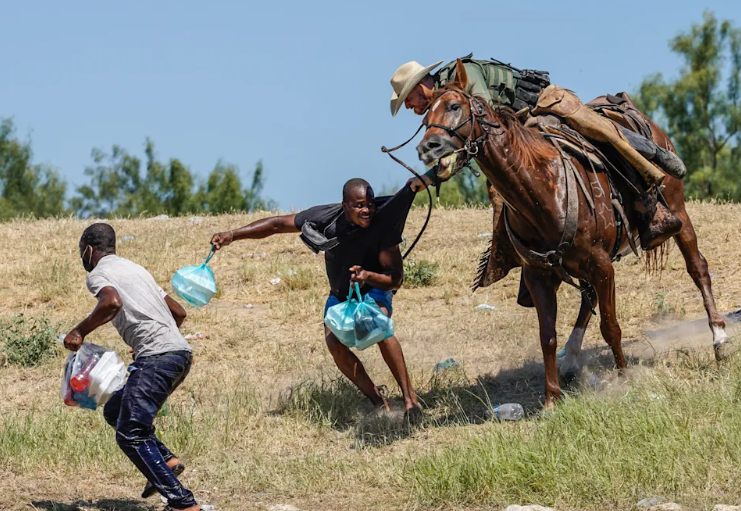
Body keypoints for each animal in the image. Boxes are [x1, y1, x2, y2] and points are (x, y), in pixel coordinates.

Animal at [416, 60, 728, 406]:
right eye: (425, 117)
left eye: (455, 106)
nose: (427, 147)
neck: (542, 189)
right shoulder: (539, 275)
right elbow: (547, 337)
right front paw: (552, 399)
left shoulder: (602, 265)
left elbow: (610, 326)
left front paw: (624, 379)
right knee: (587, 298)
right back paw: (571, 358)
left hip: (677, 211)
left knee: (697, 267)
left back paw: (719, 338)